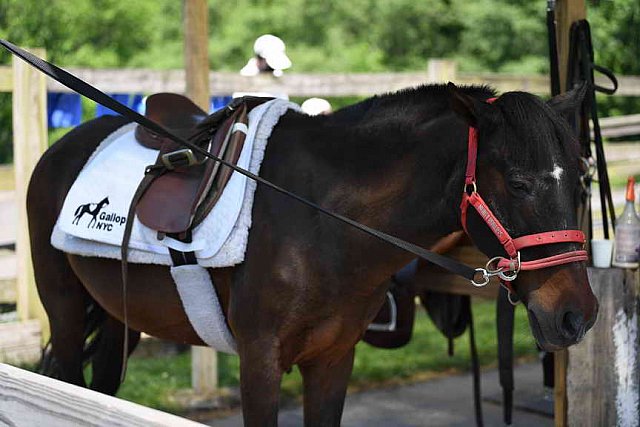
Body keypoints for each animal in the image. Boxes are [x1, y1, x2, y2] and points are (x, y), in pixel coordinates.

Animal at [27, 83, 596, 424]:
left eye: (583, 181)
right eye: (519, 183)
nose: (577, 315)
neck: (323, 217)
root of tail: (62, 146)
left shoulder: (332, 359)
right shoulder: (260, 360)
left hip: (118, 317)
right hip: (66, 310)